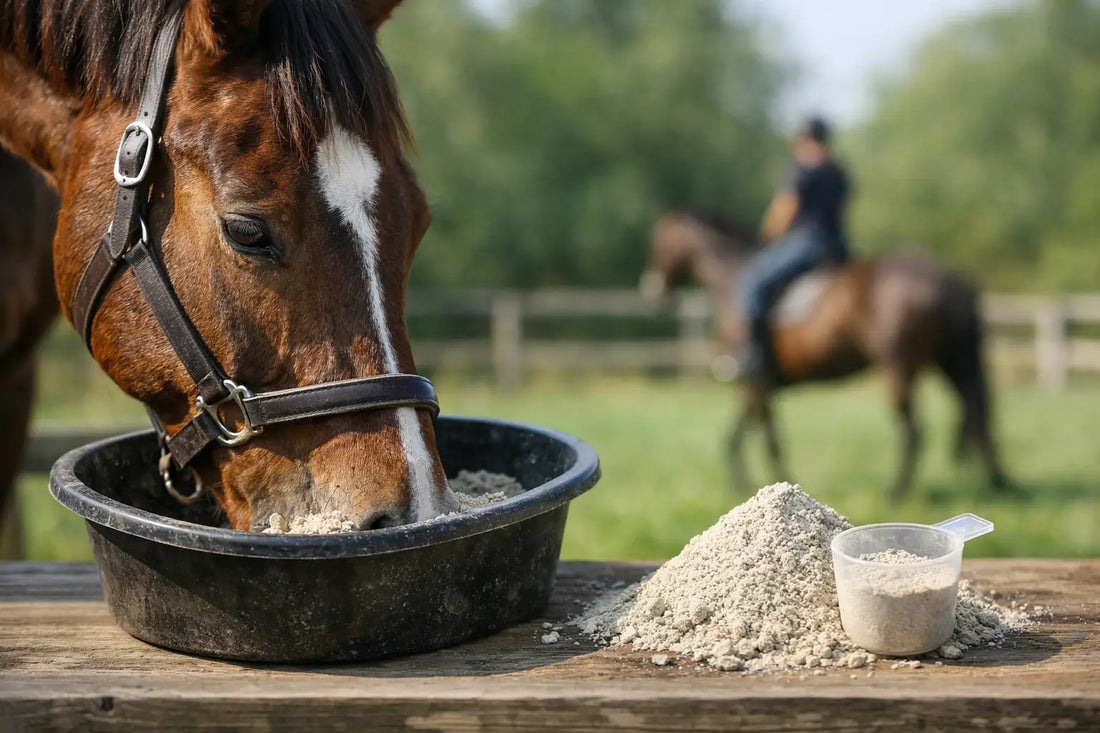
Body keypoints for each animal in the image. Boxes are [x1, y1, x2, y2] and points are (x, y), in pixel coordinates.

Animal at [640, 210, 1009, 501]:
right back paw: (998, 481)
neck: (731, 280)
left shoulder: (755, 380)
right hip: (951, 360)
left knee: (915, 430)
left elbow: (763, 437)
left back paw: (897, 491)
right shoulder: (761, 385)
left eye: (660, 243)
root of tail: (952, 278)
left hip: (900, 367)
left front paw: (772, 481)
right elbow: (742, 433)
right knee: (975, 407)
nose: (652, 290)